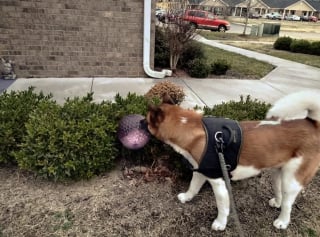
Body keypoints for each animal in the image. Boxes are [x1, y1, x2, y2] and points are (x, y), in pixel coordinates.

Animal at [146, 90, 318, 231]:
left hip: (292, 181)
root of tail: (311, 123)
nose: (140, 122)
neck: (192, 129)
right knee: (280, 192)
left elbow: (222, 207)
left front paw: (220, 223)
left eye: (145, 121)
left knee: (288, 204)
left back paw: (282, 221)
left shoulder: (219, 183)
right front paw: (188, 197)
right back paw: (277, 203)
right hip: (278, 174)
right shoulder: (201, 172)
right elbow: (193, 186)